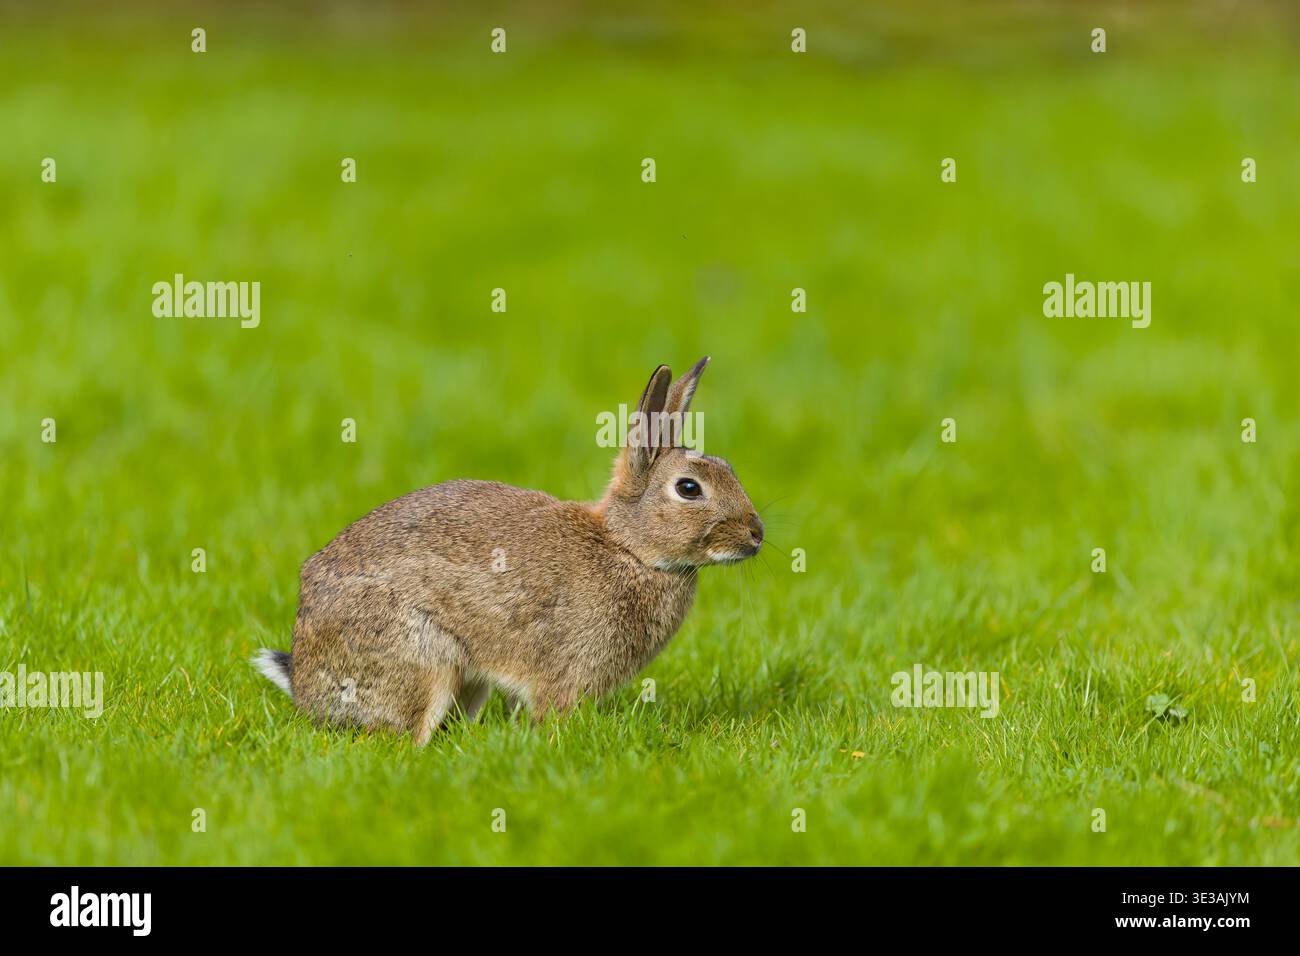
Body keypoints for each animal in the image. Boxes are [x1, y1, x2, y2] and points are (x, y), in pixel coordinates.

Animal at [253, 356, 763, 745]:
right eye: (689, 488)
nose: (756, 534)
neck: (628, 548)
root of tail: (305, 684)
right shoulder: (565, 672)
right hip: (423, 659)